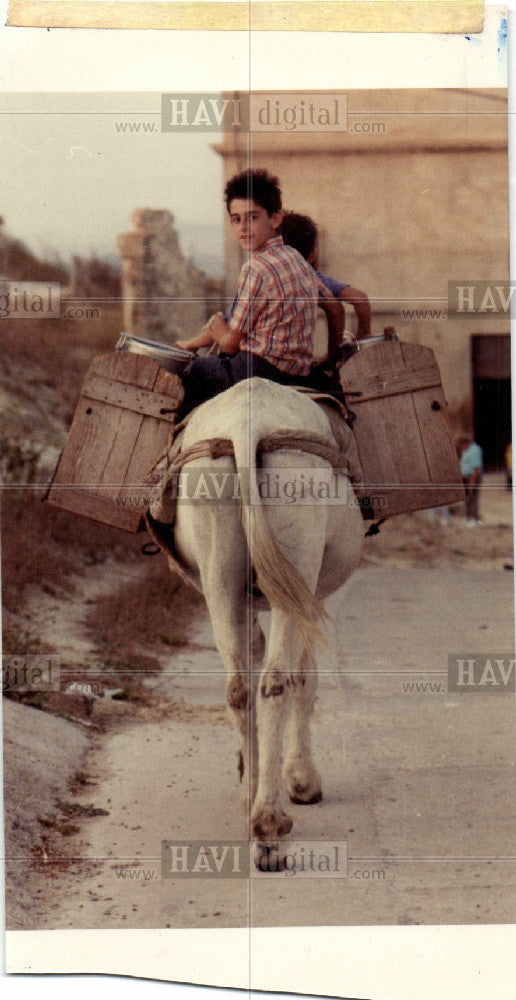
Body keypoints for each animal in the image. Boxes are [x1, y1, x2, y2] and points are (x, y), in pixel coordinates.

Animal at [168, 376, 362, 868]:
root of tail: (246, 424)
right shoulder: (310, 594)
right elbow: (305, 678)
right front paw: (302, 780)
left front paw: (250, 775)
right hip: (297, 537)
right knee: (275, 682)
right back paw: (270, 827)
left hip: (219, 564)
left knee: (241, 687)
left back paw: (254, 805)